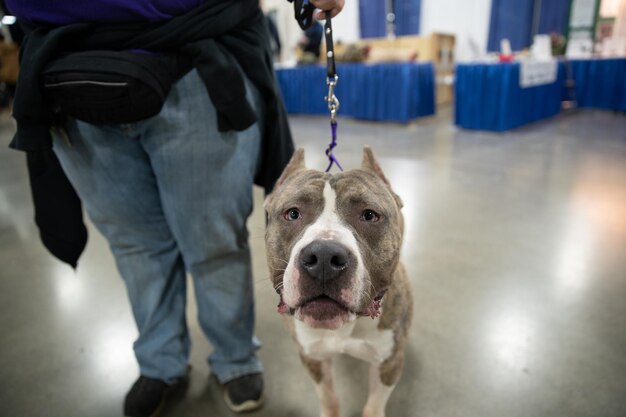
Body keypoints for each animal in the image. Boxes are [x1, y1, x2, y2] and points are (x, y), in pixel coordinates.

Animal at [262, 146, 412, 416]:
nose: (323, 256)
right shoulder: (313, 358)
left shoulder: (389, 363)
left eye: (369, 215)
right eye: (292, 213)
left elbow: (374, 405)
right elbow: (329, 398)